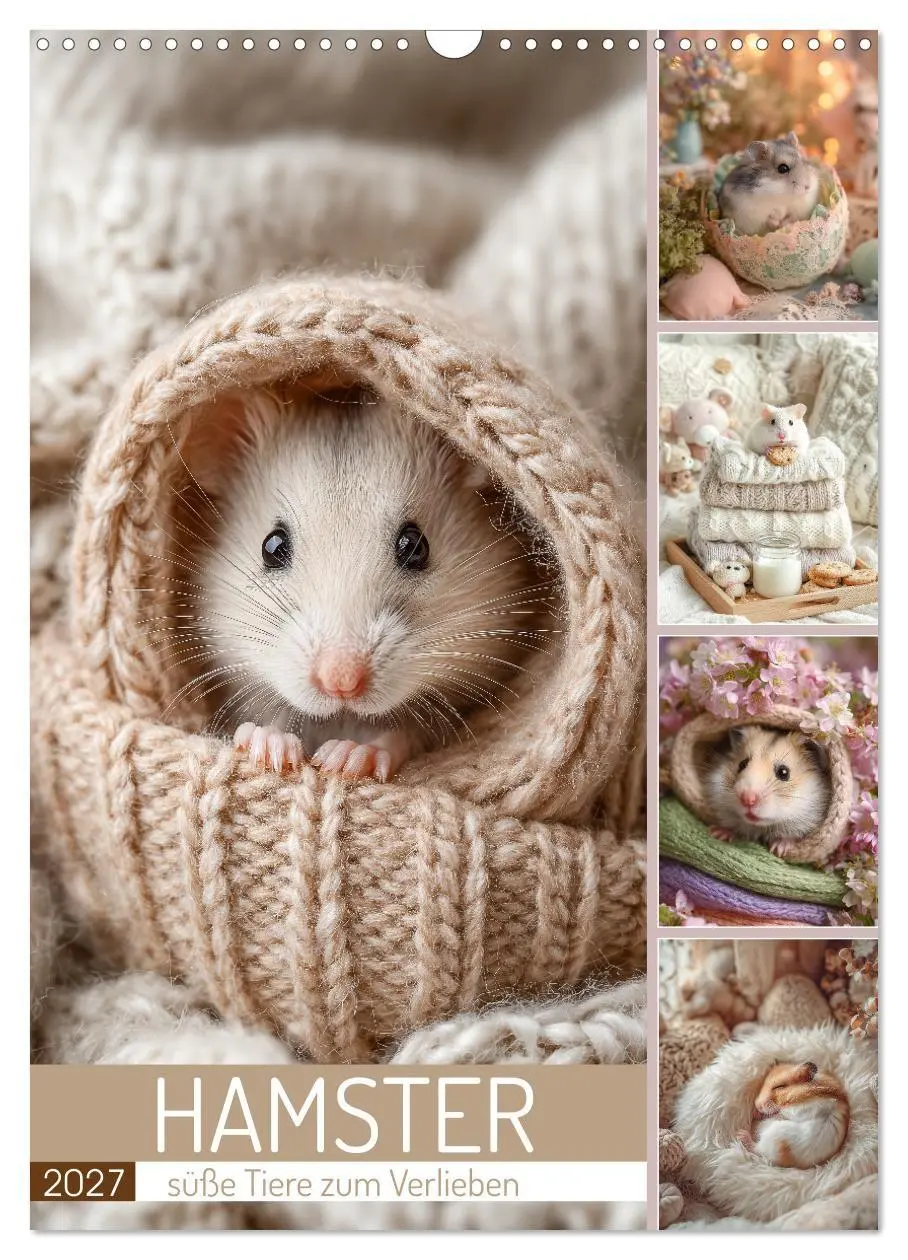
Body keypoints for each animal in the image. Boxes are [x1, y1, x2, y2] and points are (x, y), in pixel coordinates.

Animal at [178, 389, 554, 782]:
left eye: (415, 545)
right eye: (272, 546)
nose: (341, 683)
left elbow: (404, 731)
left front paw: (346, 759)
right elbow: (271, 715)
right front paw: (269, 748)